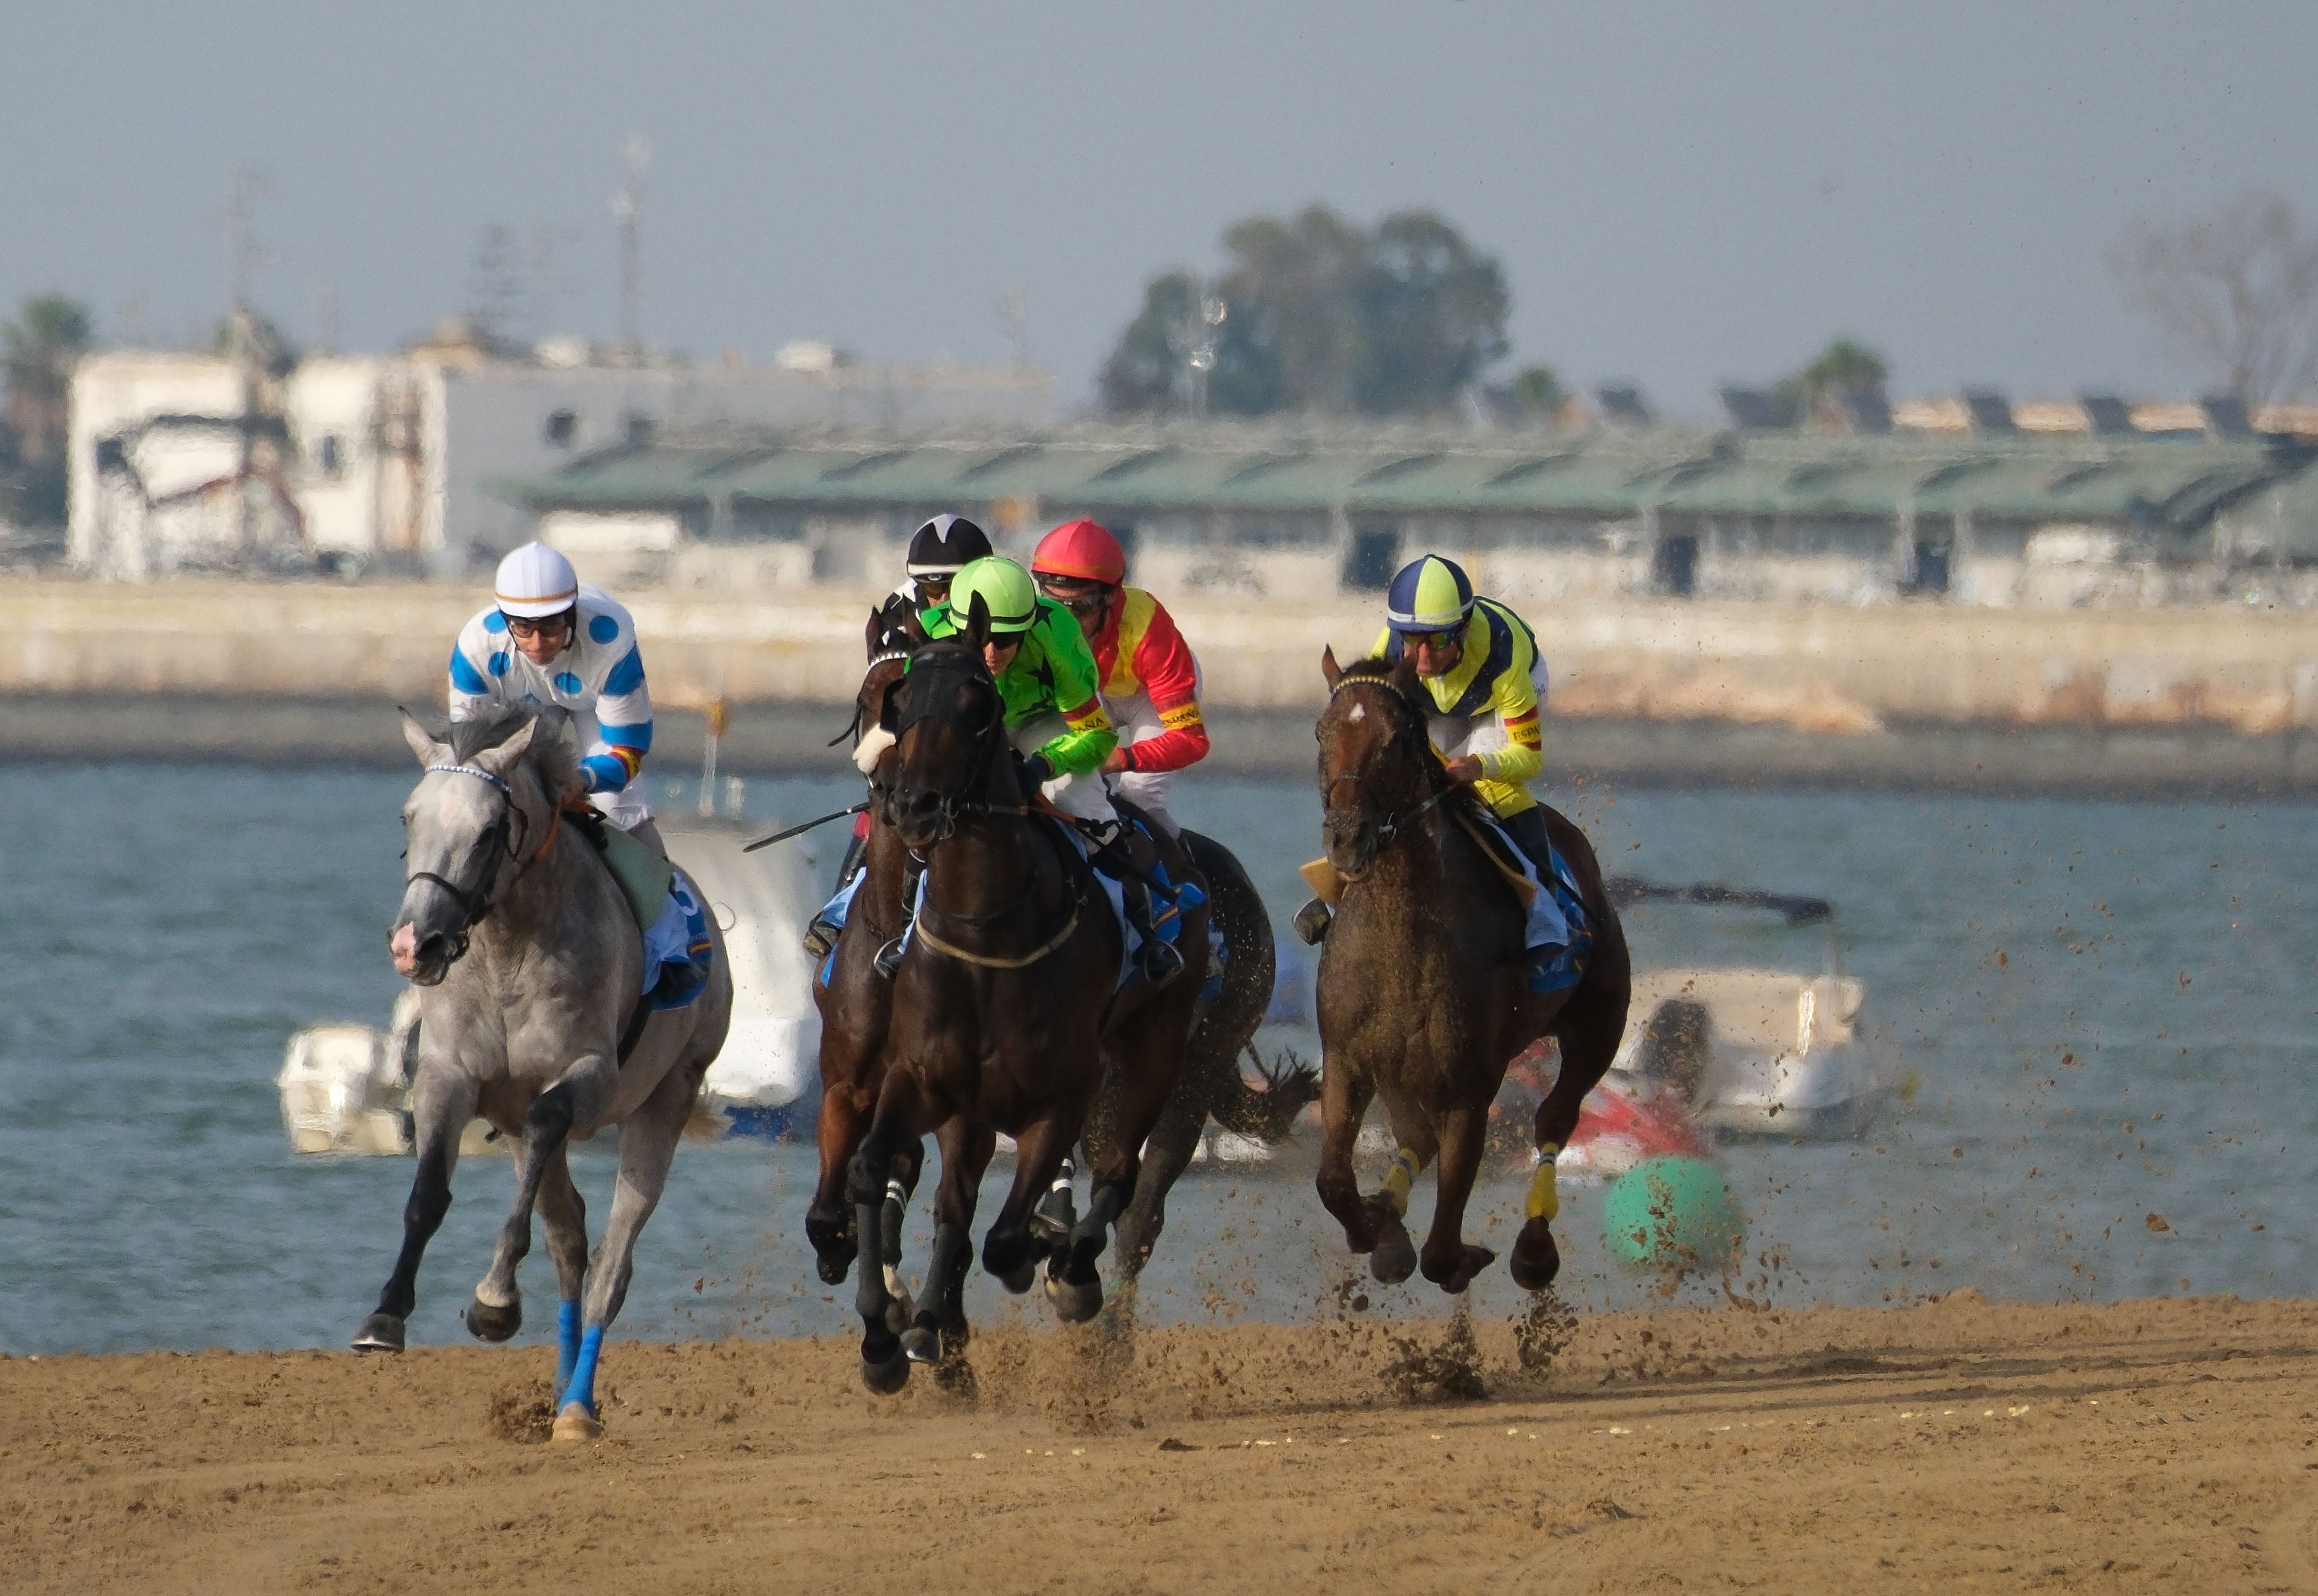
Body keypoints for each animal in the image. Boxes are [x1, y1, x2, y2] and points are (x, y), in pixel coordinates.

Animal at [357, 706, 733, 1442]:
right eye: (409, 816)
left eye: (488, 830)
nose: (416, 945)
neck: (507, 949)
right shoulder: (450, 1076)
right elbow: (428, 1193)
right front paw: (386, 1315)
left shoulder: (587, 1078)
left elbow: (547, 1120)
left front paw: (494, 1300)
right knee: (570, 1238)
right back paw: (559, 1391)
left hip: (665, 1100)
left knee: (611, 1263)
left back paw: (579, 1407)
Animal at [844, 603, 1210, 1391]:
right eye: (900, 703)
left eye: (976, 706)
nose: (914, 805)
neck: (985, 926)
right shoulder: (925, 1079)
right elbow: (876, 1171)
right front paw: (885, 1341)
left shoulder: (1063, 1094)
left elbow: (1008, 1238)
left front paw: (1055, 1262)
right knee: (960, 1203)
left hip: (1157, 1046)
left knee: (1120, 1175)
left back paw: (1071, 1269)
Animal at [1310, 649, 1630, 1294]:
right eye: (1321, 733)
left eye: (1396, 738)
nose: (1347, 837)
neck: (1399, 945)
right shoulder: (1348, 1057)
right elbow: (1333, 1182)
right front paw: (1376, 1227)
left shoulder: (1468, 1087)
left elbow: (1441, 1250)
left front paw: (1454, 1254)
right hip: (1394, 1067)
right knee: (1415, 1137)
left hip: (1599, 1026)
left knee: (1555, 1116)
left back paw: (1534, 1248)